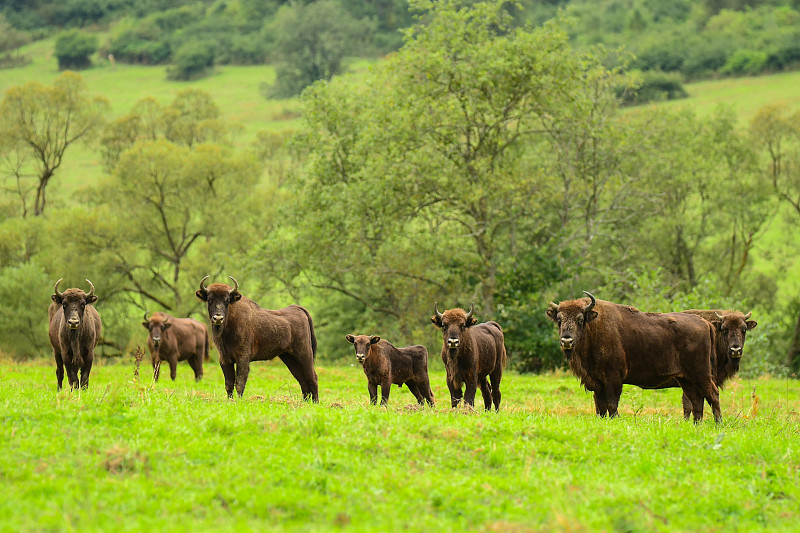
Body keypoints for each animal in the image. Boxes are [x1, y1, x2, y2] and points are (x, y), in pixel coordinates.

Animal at [548, 290, 720, 424]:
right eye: (559, 320)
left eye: (580, 319)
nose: (567, 340)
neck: (593, 326)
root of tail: (705, 323)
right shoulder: (596, 382)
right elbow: (600, 408)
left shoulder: (613, 378)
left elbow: (612, 405)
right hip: (686, 379)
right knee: (697, 400)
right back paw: (697, 425)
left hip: (701, 374)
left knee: (713, 394)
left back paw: (718, 424)